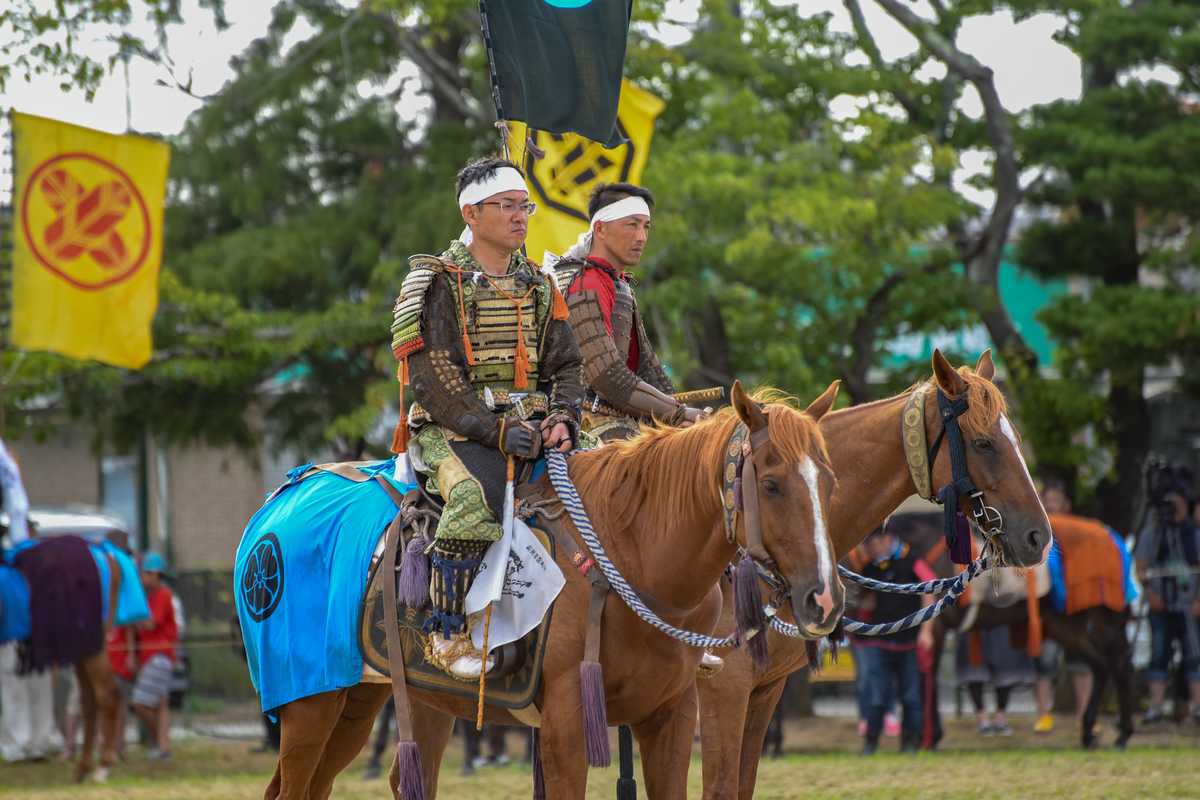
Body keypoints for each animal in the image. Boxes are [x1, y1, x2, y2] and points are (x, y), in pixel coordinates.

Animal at [262, 381, 844, 800]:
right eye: (770, 484)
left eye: (830, 483)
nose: (824, 598)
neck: (631, 551)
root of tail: (285, 495)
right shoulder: (566, 725)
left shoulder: (672, 717)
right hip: (310, 703)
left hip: (376, 698)